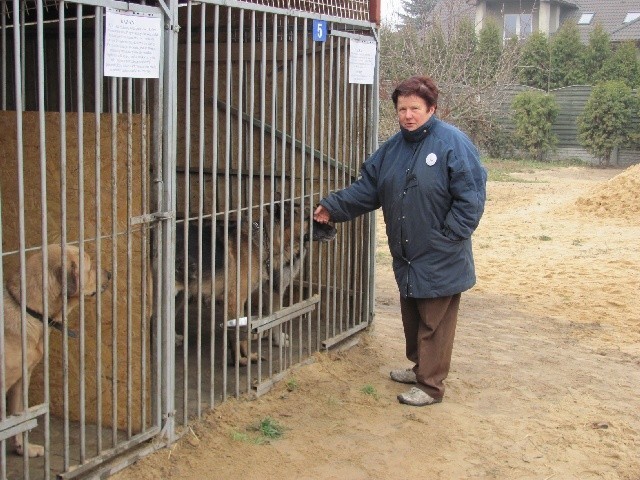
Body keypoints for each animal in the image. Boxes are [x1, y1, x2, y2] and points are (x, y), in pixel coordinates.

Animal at [2, 246, 111, 456]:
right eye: (89, 265)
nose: (109, 274)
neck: (27, 308)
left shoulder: (22, 378)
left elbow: (19, 417)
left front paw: (23, 448)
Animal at [174, 199, 336, 364]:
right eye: (309, 218)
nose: (335, 230)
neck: (265, 241)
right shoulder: (240, 298)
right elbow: (243, 331)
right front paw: (243, 359)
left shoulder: (266, 291)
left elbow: (266, 319)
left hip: (180, 295)